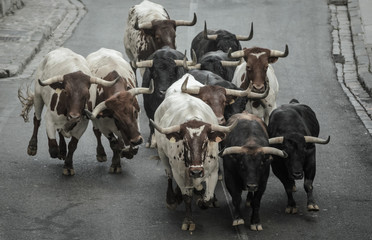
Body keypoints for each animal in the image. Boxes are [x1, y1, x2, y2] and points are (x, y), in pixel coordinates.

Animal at [17, 47, 116, 175]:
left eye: (86, 95)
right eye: (66, 92)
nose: (74, 116)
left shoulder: (82, 125)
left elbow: (72, 145)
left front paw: (68, 166)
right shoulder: (49, 118)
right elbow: (53, 145)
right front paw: (55, 151)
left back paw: (63, 150)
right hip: (38, 96)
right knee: (36, 120)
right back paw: (33, 146)